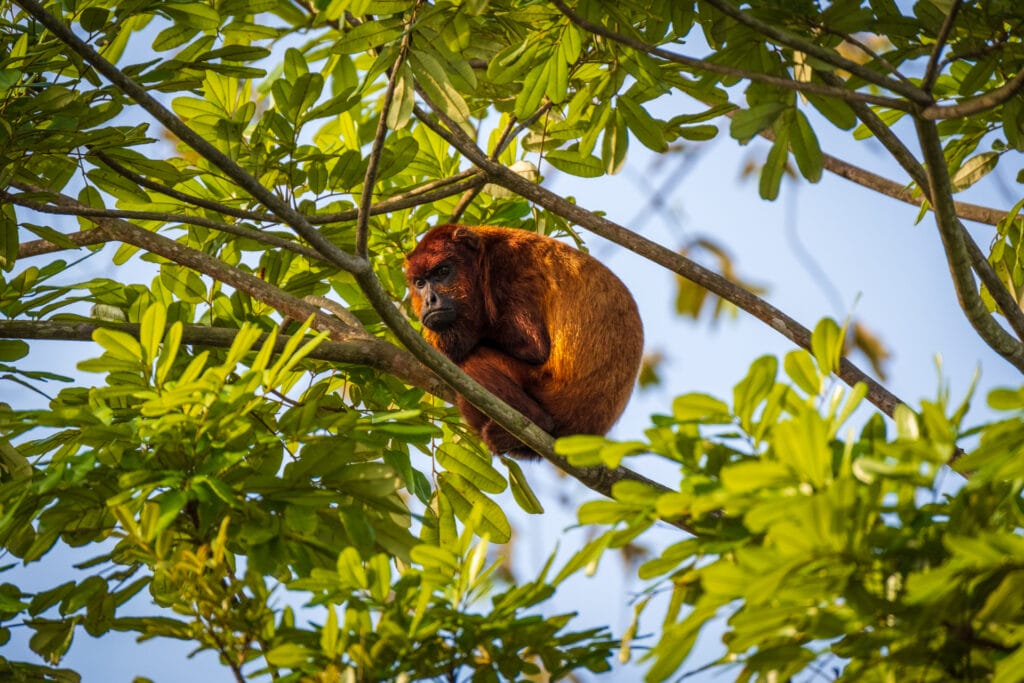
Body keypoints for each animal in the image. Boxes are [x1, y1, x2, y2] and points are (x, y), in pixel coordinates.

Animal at [403, 224, 643, 458]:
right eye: (420, 283)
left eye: (443, 272)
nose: (429, 300)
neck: (484, 257)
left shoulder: (509, 269)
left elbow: (534, 347)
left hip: (549, 390)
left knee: (473, 361)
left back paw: (537, 421)